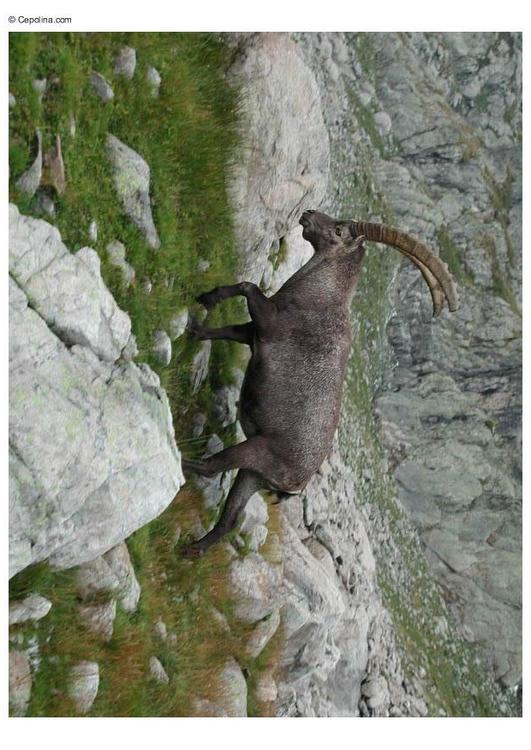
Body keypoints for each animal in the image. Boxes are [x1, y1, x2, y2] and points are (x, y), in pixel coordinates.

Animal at [181, 210, 458, 555]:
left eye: (339, 230)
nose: (309, 213)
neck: (322, 295)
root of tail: (296, 484)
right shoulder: (253, 333)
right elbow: (228, 329)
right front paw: (197, 323)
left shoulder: (269, 325)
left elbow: (248, 286)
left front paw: (208, 300)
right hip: (252, 476)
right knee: (229, 519)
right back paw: (189, 551)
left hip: (255, 451)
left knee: (210, 469)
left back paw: (179, 464)